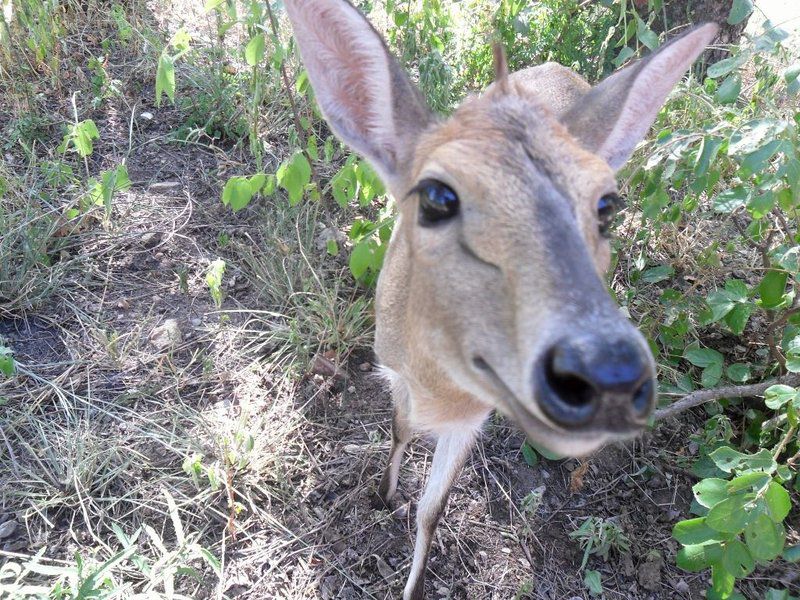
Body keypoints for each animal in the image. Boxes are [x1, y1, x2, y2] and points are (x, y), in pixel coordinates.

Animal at [282, 2, 720, 596]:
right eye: (437, 195)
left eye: (606, 205)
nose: (607, 375)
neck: (439, 387)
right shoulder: (391, 368)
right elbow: (398, 431)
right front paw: (383, 494)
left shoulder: (476, 413)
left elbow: (433, 510)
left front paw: (412, 580)